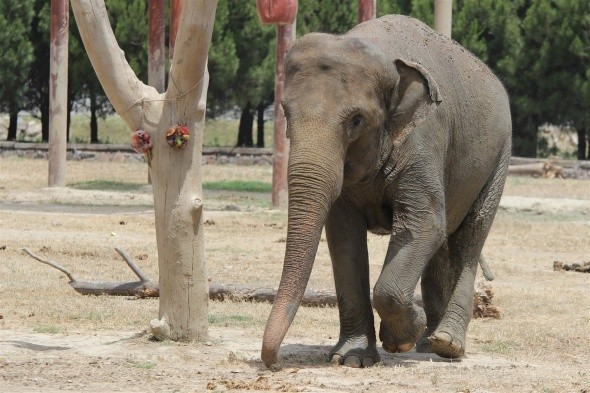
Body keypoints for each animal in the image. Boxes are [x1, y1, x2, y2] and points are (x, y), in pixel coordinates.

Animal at [262, 14, 512, 368]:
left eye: (356, 120)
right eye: (284, 112)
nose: (274, 362)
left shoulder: (424, 138)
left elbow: (423, 223)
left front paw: (399, 339)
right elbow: (344, 237)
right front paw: (352, 358)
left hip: (499, 158)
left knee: (470, 238)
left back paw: (447, 345)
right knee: (441, 245)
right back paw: (427, 342)